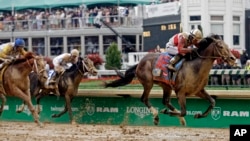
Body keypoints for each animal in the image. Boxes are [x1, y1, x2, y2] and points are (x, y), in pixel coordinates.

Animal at [102, 35, 235, 125]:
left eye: (228, 46)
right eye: (220, 46)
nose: (232, 58)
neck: (195, 67)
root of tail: (140, 62)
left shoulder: (198, 91)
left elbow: (212, 102)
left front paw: (198, 115)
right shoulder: (180, 92)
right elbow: (184, 111)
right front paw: (167, 113)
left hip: (166, 86)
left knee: (165, 101)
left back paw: (179, 119)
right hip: (148, 83)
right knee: (144, 99)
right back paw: (157, 117)